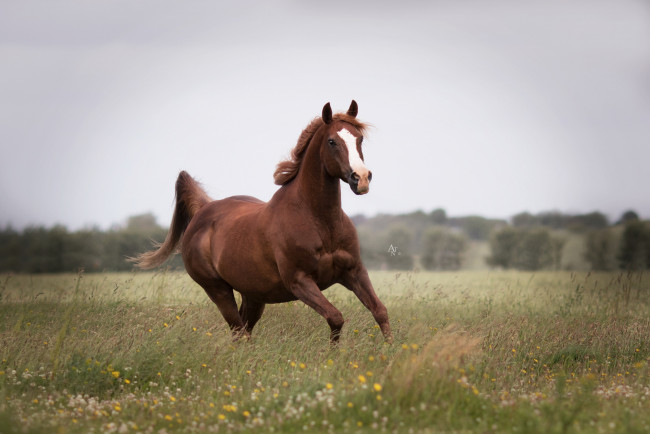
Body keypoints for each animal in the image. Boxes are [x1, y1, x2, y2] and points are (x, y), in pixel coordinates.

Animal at [132, 101, 390, 342]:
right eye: (332, 141)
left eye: (359, 139)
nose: (361, 178)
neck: (320, 222)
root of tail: (202, 210)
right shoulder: (300, 281)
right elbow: (335, 318)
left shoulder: (354, 271)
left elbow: (380, 312)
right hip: (218, 290)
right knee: (238, 332)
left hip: (253, 295)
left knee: (243, 332)